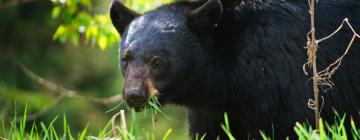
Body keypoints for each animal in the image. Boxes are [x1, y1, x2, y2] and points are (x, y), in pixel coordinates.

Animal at [109, 0, 360, 139]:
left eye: (157, 61)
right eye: (126, 59)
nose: (133, 94)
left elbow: (292, 124)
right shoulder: (211, 109)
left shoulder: (284, 73)